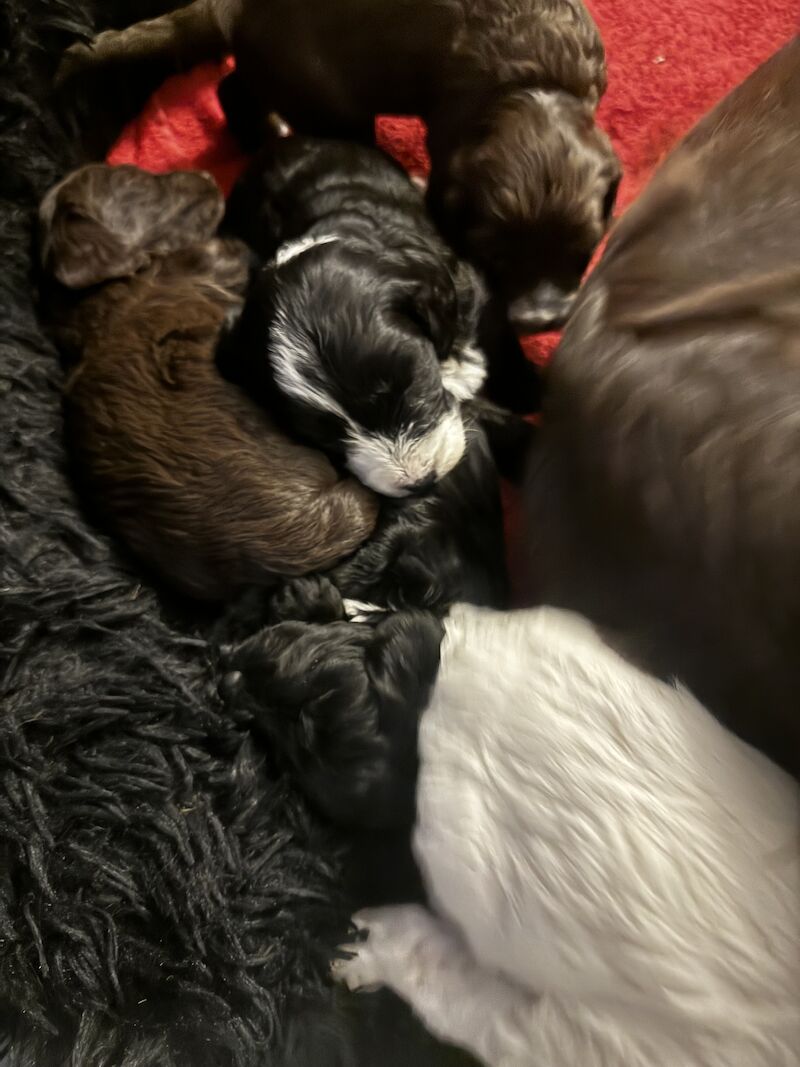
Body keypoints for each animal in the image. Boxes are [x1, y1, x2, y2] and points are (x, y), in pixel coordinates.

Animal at [59, 0, 622, 330]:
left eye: (585, 252)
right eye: (495, 256)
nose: (540, 320)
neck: (532, 85)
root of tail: (232, 9)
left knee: (232, 89)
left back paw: (262, 134)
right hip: (331, 99)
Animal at [219, 133, 541, 495]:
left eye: (411, 387)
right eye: (324, 437)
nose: (420, 482)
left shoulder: (467, 286)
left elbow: (498, 336)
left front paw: (529, 390)